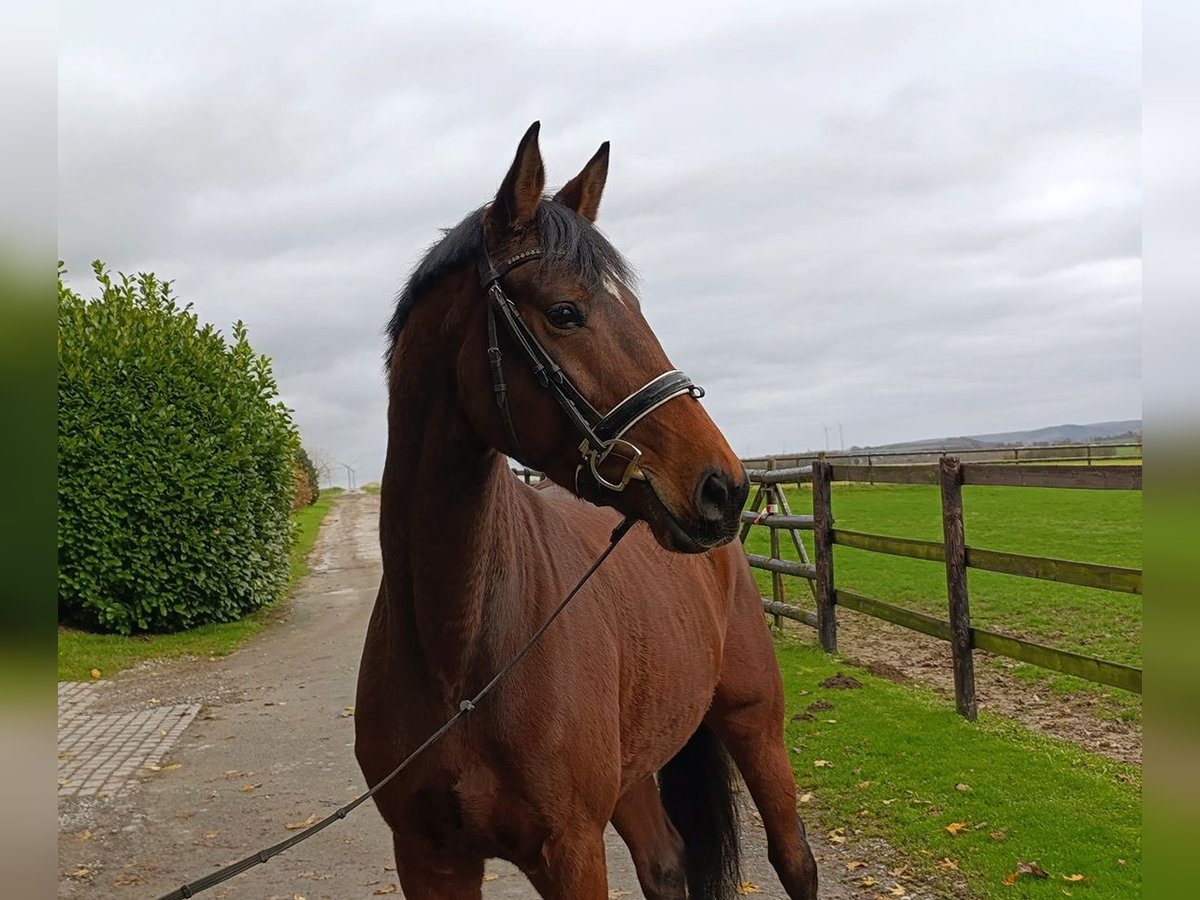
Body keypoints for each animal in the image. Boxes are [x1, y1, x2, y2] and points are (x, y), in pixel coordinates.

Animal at [352, 121, 816, 900]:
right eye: (565, 312)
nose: (723, 487)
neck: (458, 656)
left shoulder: (570, 850)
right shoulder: (427, 856)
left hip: (754, 724)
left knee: (794, 859)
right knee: (665, 862)